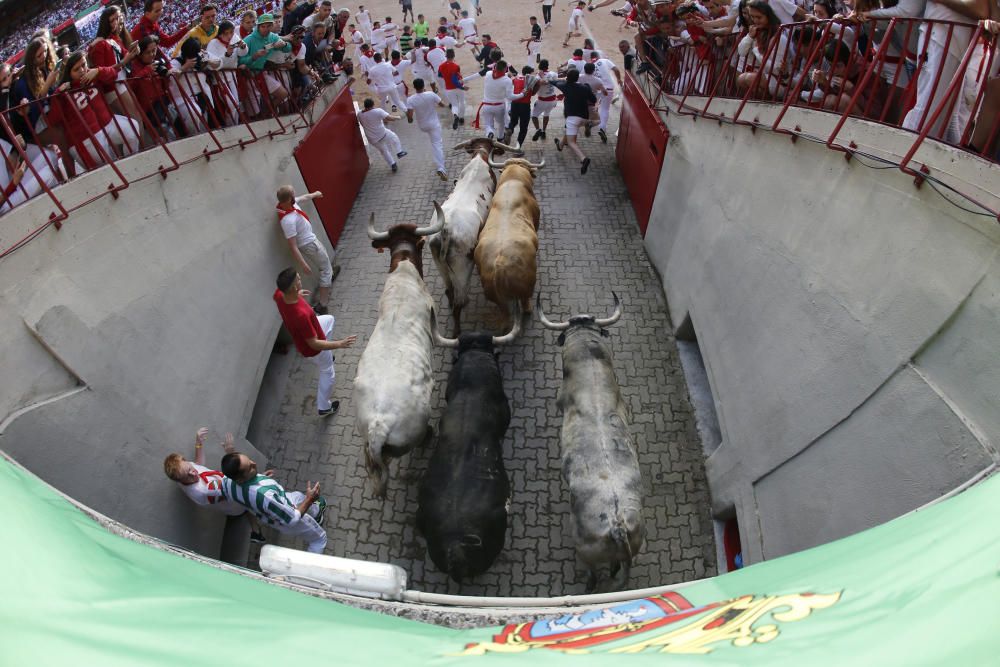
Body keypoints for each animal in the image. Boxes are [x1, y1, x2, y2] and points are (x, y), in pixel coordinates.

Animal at [472, 158, 544, 322]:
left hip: (497, 298)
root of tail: (499, 263)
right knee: (525, 300)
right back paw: (528, 310)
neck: (513, 181)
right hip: (527, 287)